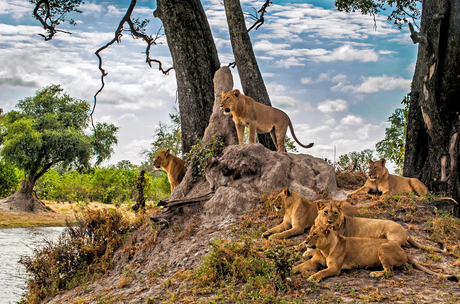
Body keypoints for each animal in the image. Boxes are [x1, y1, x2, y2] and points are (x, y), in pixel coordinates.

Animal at [292, 224, 456, 282]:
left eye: (314, 234)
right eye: (309, 233)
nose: (305, 242)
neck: (324, 249)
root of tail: (405, 251)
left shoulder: (335, 269)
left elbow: (322, 272)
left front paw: (313, 277)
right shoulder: (314, 261)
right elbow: (300, 266)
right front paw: (290, 270)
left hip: (382, 246)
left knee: (390, 272)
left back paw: (375, 273)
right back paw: (370, 267)